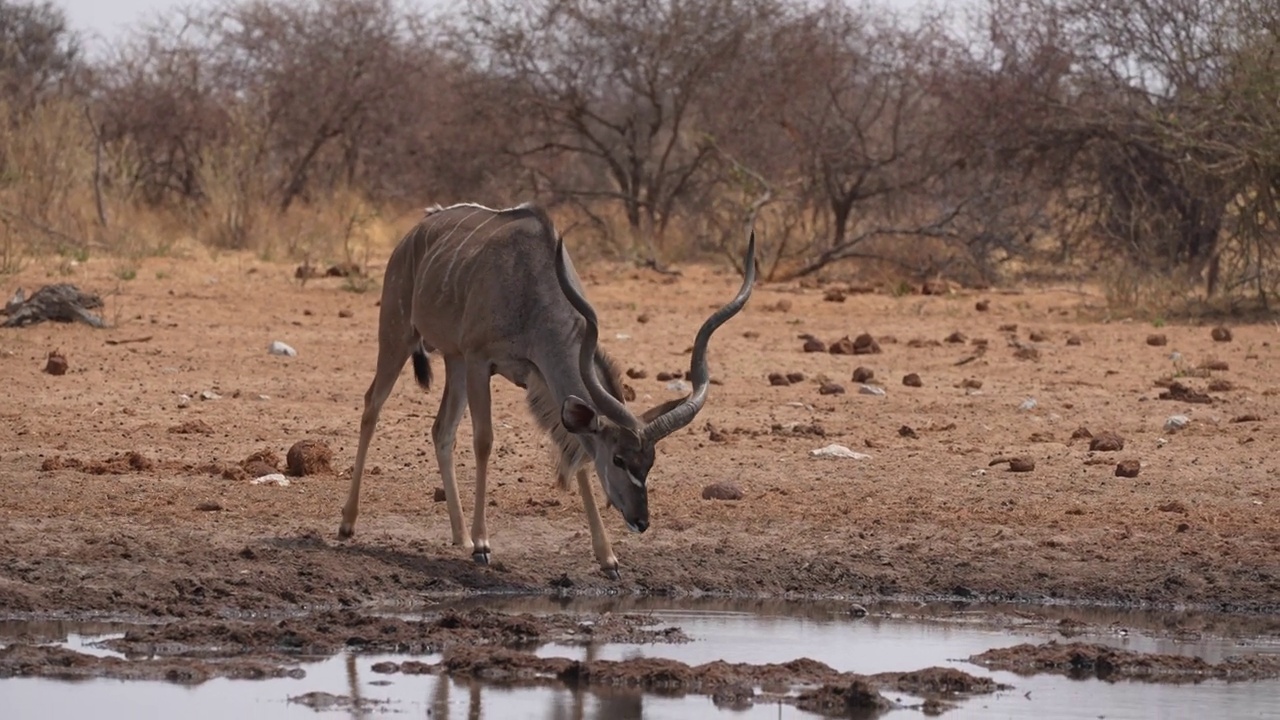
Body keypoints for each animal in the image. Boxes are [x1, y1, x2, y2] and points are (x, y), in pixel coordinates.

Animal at [345, 199, 752, 576]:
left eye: (649, 462)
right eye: (619, 459)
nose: (641, 521)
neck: (530, 283)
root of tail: (417, 229)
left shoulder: (539, 378)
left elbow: (577, 449)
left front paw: (607, 558)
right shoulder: (480, 361)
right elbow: (484, 441)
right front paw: (483, 544)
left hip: (452, 359)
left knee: (441, 430)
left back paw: (459, 536)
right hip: (398, 334)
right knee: (371, 405)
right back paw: (349, 523)